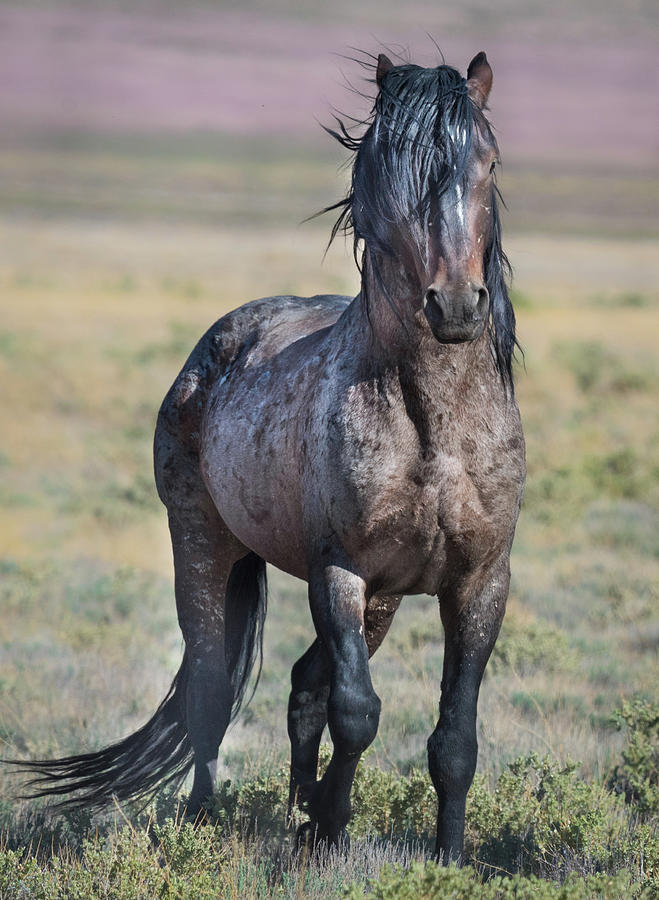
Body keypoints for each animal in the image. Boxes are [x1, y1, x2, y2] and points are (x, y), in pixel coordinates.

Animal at [11, 51, 524, 864]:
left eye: (489, 160)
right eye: (388, 168)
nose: (453, 305)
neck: (433, 423)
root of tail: (218, 340)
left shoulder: (479, 582)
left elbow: (452, 739)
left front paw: (444, 856)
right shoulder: (338, 569)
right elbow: (357, 710)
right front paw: (332, 831)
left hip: (381, 599)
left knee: (303, 682)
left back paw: (295, 806)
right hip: (203, 543)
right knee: (213, 689)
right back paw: (206, 816)